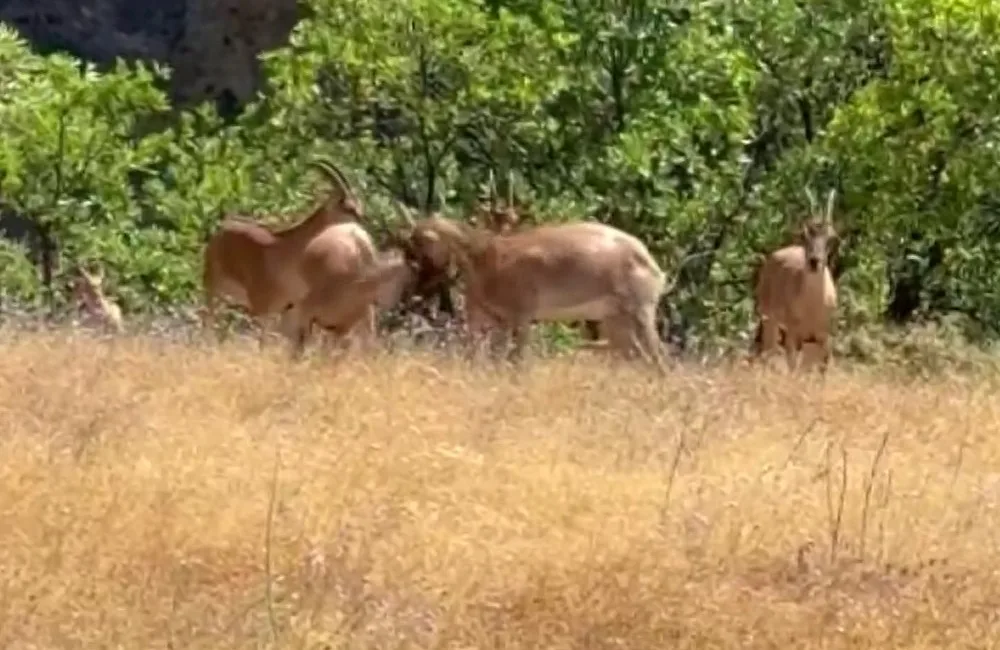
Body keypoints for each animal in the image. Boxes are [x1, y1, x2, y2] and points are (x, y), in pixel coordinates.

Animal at [752, 187, 840, 370]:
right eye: (804, 235)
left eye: (832, 238)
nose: (814, 261)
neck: (812, 307)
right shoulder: (794, 334)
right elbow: (793, 366)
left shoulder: (822, 335)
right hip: (769, 318)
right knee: (767, 350)